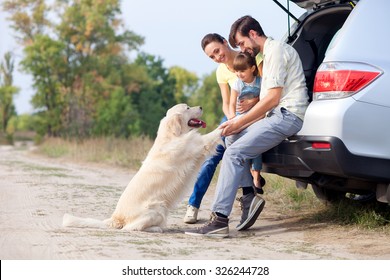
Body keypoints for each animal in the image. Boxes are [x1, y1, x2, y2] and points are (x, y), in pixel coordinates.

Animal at [63, 104, 222, 233]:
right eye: (187, 108)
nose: (201, 107)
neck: (172, 136)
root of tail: (116, 217)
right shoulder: (197, 145)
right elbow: (214, 134)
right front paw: (226, 124)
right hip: (157, 208)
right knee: (131, 228)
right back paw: (156, 229)